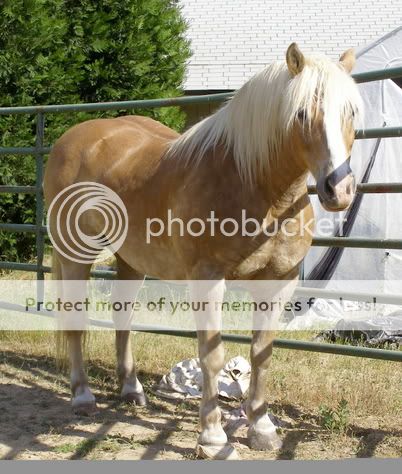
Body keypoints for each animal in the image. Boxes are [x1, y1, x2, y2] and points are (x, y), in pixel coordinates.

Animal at [43, 43, 362, 459]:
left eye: (352, 112)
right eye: (302, 113)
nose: (338, 190)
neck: (252, 185)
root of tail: (73, 138)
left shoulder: (280, 281)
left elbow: (262, 352)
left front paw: (262, 429)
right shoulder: (207, 279)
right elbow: (212, 355)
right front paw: (212, 436)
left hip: (130, 260)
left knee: (122, 317)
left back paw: (131, 389)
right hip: (75, 255)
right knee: (75, 320)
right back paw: (82, 395)